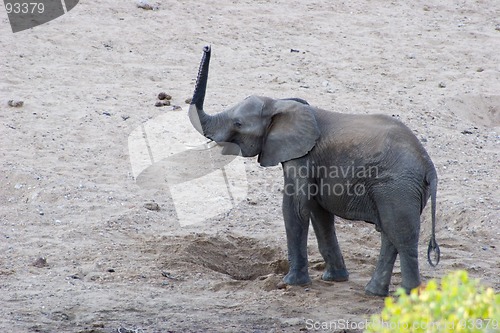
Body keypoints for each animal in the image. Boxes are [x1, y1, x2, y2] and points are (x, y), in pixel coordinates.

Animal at [187, 45, 438, 294]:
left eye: (238, 123)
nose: (207, 47)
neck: (281, 104)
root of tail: (429, 166)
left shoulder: (302, 158)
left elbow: (295, 208)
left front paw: (291, 283)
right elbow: (320, 214)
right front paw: (333, 279)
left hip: (397, 186)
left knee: (401, 236)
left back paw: (409, 296)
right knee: (390, 233)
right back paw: (374, 292)